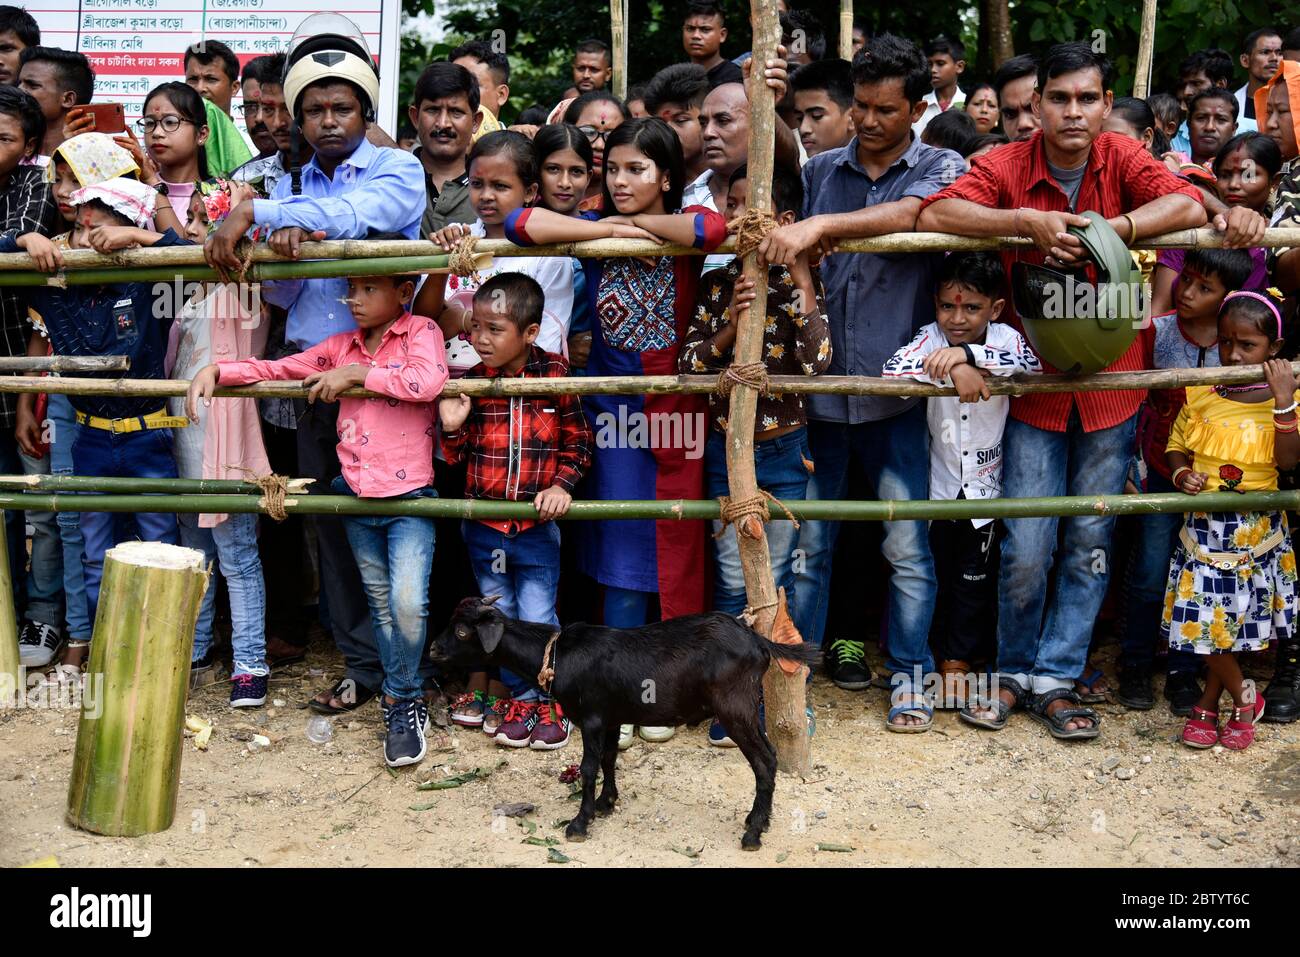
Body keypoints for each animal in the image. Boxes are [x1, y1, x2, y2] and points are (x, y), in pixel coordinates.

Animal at [436, 598, 821, 852]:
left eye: (462, 631)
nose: (433, 650)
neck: (557, 655)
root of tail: (758, 641)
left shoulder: (591, 717)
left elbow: (588, 768)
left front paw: (579, 823)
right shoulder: (610, 717)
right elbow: (609, 759)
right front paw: (606, 803)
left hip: (735, 708)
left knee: (765, 761)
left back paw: (754, 832)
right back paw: (759, 821)